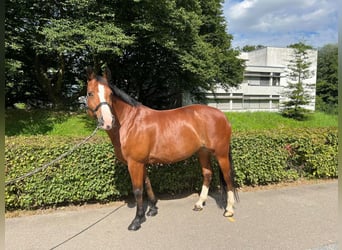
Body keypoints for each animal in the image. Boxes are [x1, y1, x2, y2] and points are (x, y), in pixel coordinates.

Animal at [85, 67, 238, 230]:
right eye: (90, 93)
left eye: (111, 94)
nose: (107, 121)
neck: (130, 122)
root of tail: (223, 115)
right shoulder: (141, 163)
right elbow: (147, 184)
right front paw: (152, 209)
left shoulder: (134, 163)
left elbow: (138, 190)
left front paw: (137, 220)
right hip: (203, 152)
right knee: (208, 174)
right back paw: (199, 204)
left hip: (221, 154)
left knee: (228, 177)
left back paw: (229, 209)